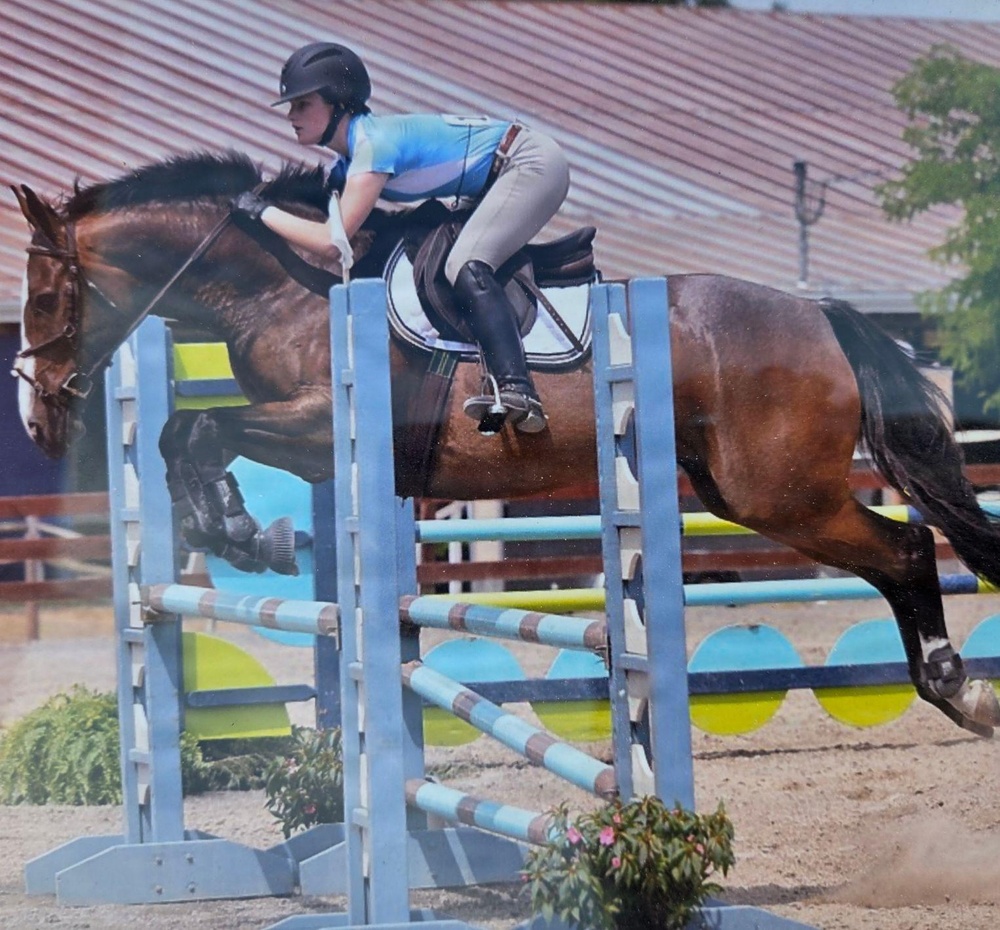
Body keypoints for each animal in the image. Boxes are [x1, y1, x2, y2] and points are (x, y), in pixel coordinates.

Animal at [12, 151, 1000, 738]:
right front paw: (232, 526)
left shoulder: (319, 425)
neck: (283, 285)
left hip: (778, 490)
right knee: (894, 553)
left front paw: (238, 530)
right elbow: (182, 433)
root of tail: (821, 315)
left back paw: (957, 685)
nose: (36, 420)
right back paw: (948, 687)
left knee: (907, 547)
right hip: (745, 492)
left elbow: (203, 426)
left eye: (48, 296)